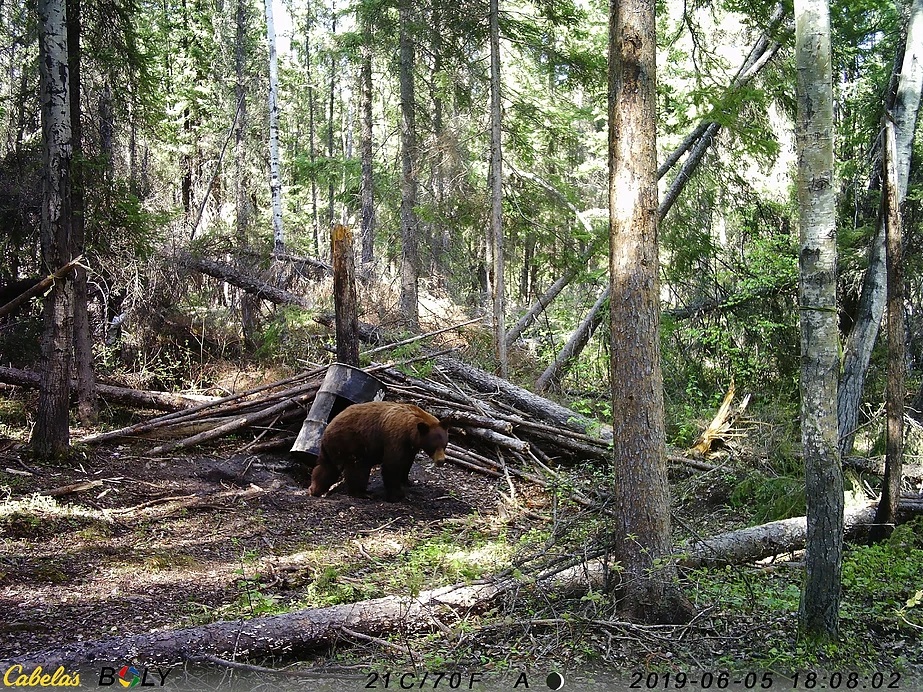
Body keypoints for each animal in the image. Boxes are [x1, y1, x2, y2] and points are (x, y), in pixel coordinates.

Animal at [310, 400, 452, 502]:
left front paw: (407, 481)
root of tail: (326, 430)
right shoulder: (395, 438)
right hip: (351, 444)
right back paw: (362, 493)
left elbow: (407, 462)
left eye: (444, 445)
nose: (441, 461)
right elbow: (392, 465)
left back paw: (315, 490)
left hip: (332, 449)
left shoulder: (410, 447)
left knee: (326, 468)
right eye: (433, 446)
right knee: (357, 469)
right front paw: (397, 494)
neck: (410, 432)